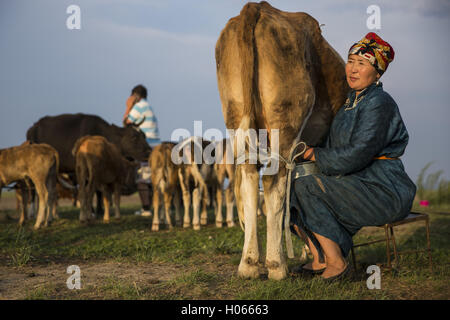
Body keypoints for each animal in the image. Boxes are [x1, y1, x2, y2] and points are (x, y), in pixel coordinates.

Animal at [216, 1, 350, 278]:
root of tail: (257, 8)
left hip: (235, 114)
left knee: (250, 181)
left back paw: (249, 264)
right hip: (286, 119)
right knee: (273, 181)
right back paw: (277, 265)